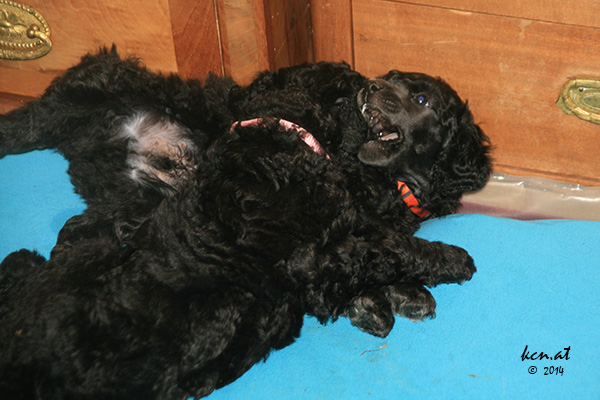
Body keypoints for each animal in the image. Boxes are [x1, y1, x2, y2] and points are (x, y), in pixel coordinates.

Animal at [0, 47, 490, 399]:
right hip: (78, 113)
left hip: (130, 199)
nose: (367, 86)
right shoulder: (333, 233)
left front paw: (395, 294)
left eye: (421, 98)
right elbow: (382, 249)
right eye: (386, 80)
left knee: (77, 230)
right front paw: (430, 274)